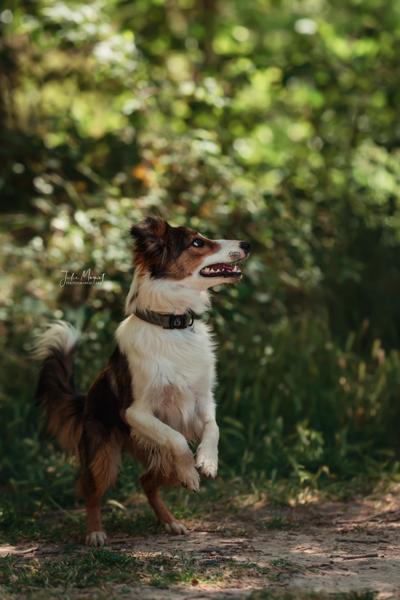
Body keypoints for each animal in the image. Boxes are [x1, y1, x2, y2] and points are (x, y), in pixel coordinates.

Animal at [33, 218, 250, 548]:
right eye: (197, 243)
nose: (248, 244)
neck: (172, 325)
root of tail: (85, 401)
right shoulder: (135, 412)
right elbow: (176, 440)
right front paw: (192, 473)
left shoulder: (203, 400)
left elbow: (214, 428)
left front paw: (208, 462)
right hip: (105, 457)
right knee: (92, 490)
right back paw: (95, 532)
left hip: (156, 458)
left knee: (146, 480)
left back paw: (171, 522)